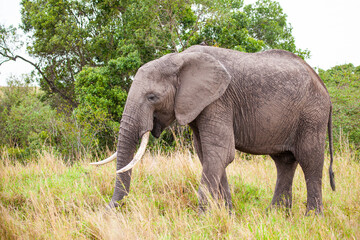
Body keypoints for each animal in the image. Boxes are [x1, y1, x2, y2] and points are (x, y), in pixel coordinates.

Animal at [91, 44, 336, 215]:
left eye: (152, 97)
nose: (107, 212)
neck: (179, 58)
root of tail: (323, 86)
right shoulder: (202, 106)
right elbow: (208, 155)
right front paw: (227, 215)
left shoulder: (219, 101)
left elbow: (220, 153)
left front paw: (202, 219)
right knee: (284, 162)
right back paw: (275, 216)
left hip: (312, 115)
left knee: (310, 161)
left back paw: (311, 218)